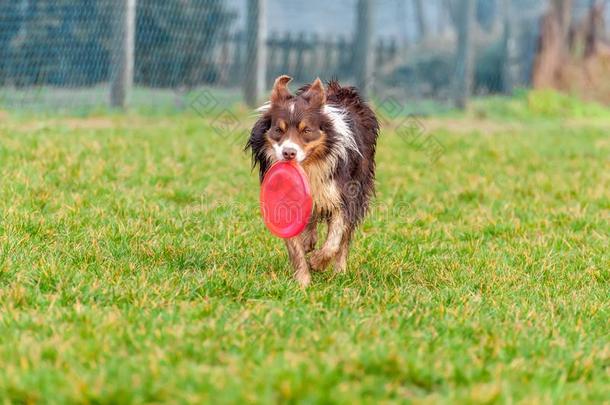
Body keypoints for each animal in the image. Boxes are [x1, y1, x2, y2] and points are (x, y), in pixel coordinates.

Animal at [245, 75, 378, 284]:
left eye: (306, 130)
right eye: (278, 130)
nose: (288, 153)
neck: (309, 165)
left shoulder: (343, 194)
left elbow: (335, 238)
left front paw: (318, 262)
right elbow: (294, 245)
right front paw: (303, 282)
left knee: (345, 237)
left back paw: (339, 270)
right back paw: (309, 240)